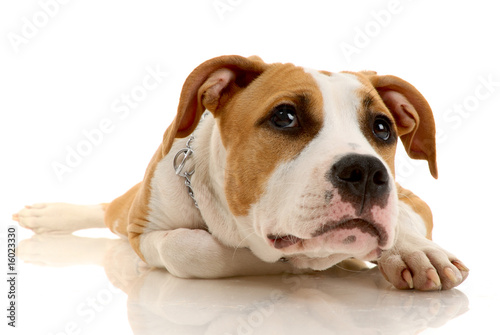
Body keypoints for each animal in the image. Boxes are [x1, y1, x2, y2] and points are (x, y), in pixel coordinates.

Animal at [14, 55, 468, 292]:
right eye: (284, 116)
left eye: (382, 127)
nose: (367, 171)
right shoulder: (143, 230)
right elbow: (188, 248)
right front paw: (290, 265)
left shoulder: (410, 198)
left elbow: (403, 218)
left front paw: (414, 250)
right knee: (107, 208)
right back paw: (49, 214)